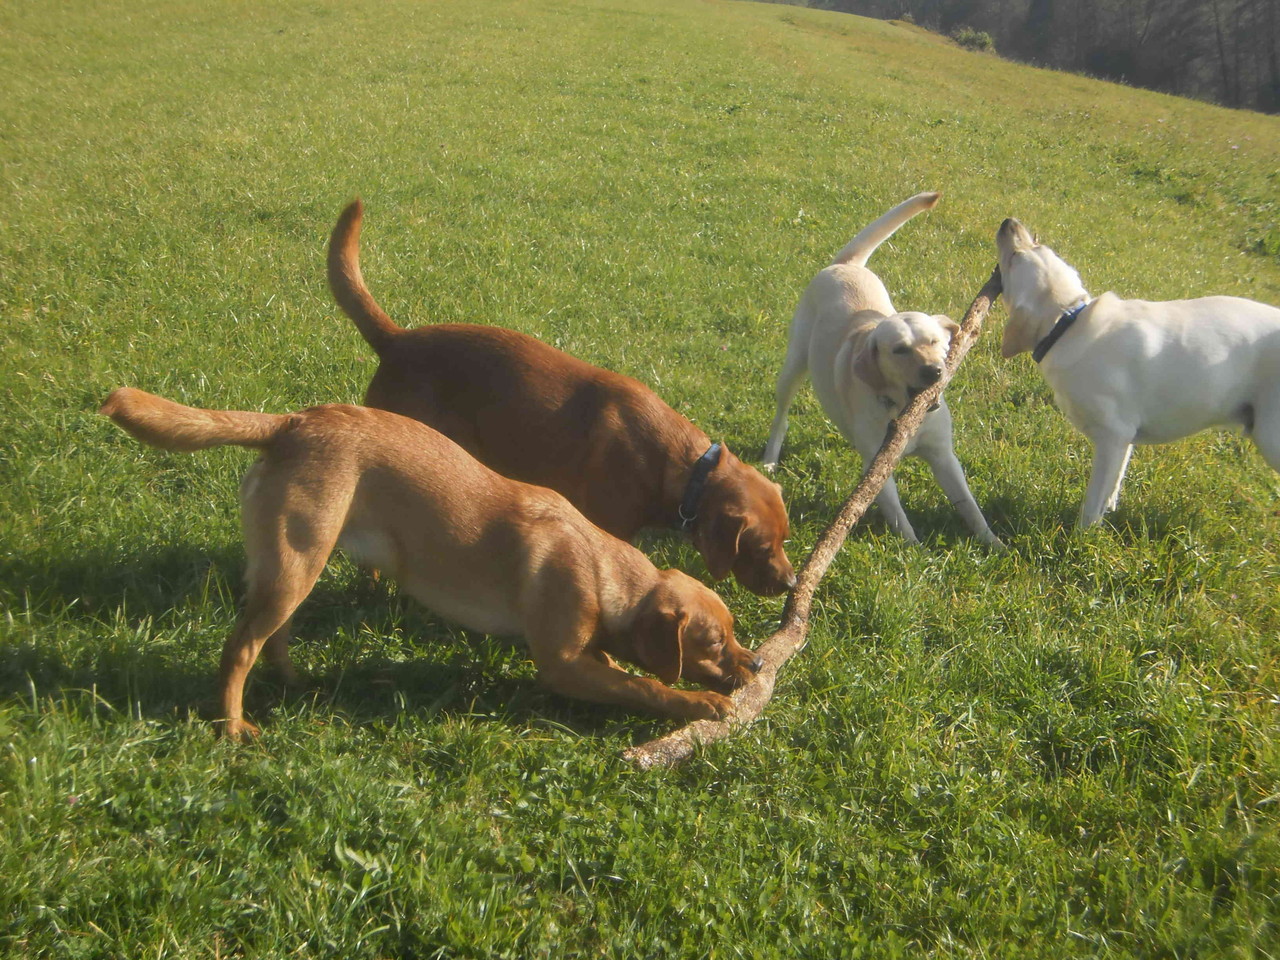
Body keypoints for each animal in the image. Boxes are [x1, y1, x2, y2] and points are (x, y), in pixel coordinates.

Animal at [762, 193, 1003, 547]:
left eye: (935, 341)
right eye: (899, 350)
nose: (934, 372)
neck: (903, 413)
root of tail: (846, 265)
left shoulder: (944, 457)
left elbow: (969, 506)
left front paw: (993, 542)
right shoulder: (877, 469)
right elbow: (898, 516)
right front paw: (914, 550)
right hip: (793, 365)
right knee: (781, 417)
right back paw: (769, 459)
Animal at [998, 218, 1280, 529]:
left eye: (1014, 257)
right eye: (1038, 244)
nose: (1009, 222)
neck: (1069, 322)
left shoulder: (1113, 434)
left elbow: (1093, 500)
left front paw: (1083, 535)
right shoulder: (1124, 440)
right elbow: (1114, 484)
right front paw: (1108, 512)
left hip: (1271, 435)